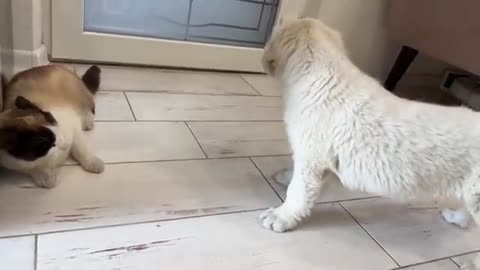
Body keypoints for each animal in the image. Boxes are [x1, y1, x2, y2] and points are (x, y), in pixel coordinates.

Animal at [260, 17, 480, 244]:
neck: (321, 74)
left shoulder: (312, 157)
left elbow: (299, 190)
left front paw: (281, 216)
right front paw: (286, 177)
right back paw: (454, 218)